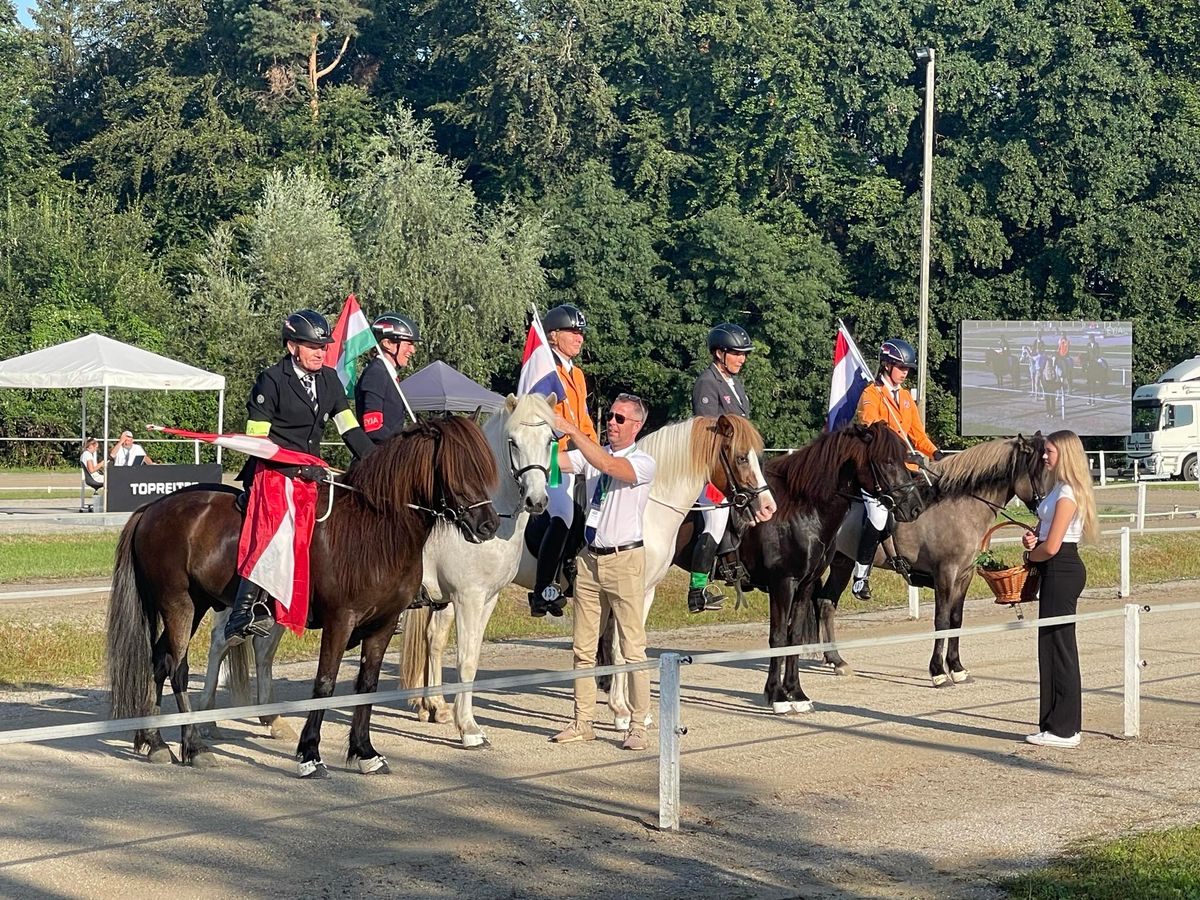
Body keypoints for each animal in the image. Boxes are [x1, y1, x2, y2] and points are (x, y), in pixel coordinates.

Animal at [103, 415, 496, 777]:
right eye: (458, 467)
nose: (489, 525)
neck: (373, 529)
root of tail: (153, 508)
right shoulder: (340, 621)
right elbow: (324, 684)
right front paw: (310, 754)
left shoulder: (382, 625)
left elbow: (367, 686)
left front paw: (365, 752)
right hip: (179, 605)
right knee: (177, 667)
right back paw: (194, 746)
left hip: (191, 606)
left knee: (158, 662)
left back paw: (154, 741)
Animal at [403, 412, 777, 734]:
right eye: (741, 458)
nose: (767, 507)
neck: (648, 503)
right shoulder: (627, 592)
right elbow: (619, 648)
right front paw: (623, 713)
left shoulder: (640, 592)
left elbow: (622, 647)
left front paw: (627, 709)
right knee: (440, 640)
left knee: (434, 638)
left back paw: (433, 706)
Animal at [811, 434, 1046, 686]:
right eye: (1038, 471)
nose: (1044, 508)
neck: (960, 508)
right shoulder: (945, 573)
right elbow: (941, 621)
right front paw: (939, 672)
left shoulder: (965, 574)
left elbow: (956, 619)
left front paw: (957, 668)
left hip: (842, 563)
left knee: (826, 604)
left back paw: (836, 661)